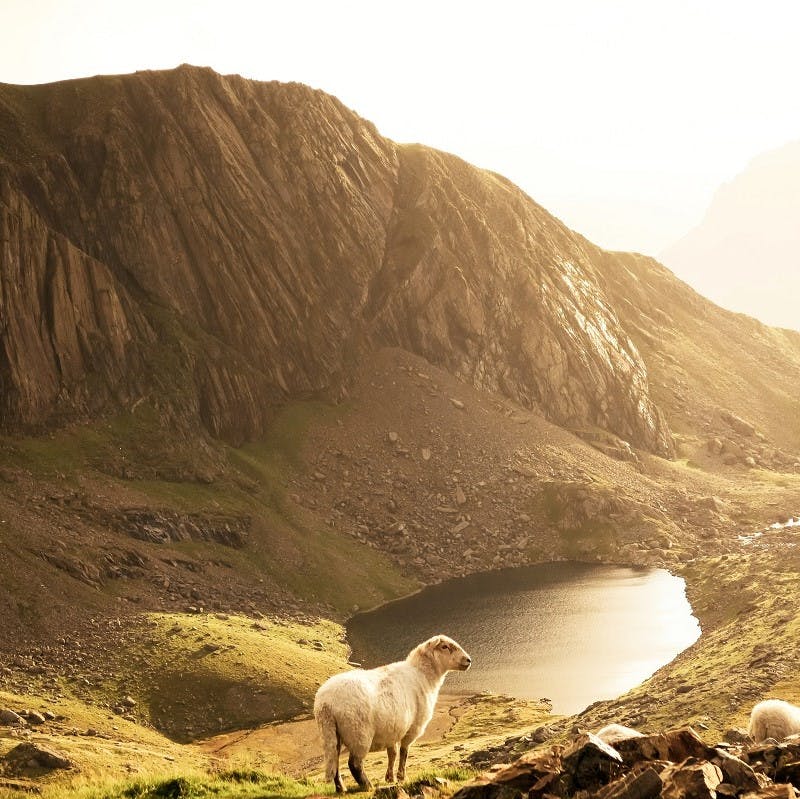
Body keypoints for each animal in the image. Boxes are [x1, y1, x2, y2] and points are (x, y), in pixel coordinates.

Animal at [316, 636, 472, 792]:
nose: (468, 660)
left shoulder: (392, 730)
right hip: (359, 734)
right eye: (445, 647)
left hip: (331, 733)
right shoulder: (413, 728)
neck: (423, 674)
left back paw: (341, 788)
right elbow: (404, 752)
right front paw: (402, 777)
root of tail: (326, 704)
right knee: (354, 764)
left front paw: (390, 778)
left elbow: (392, 753)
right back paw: (368, 786)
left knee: (334, 761)